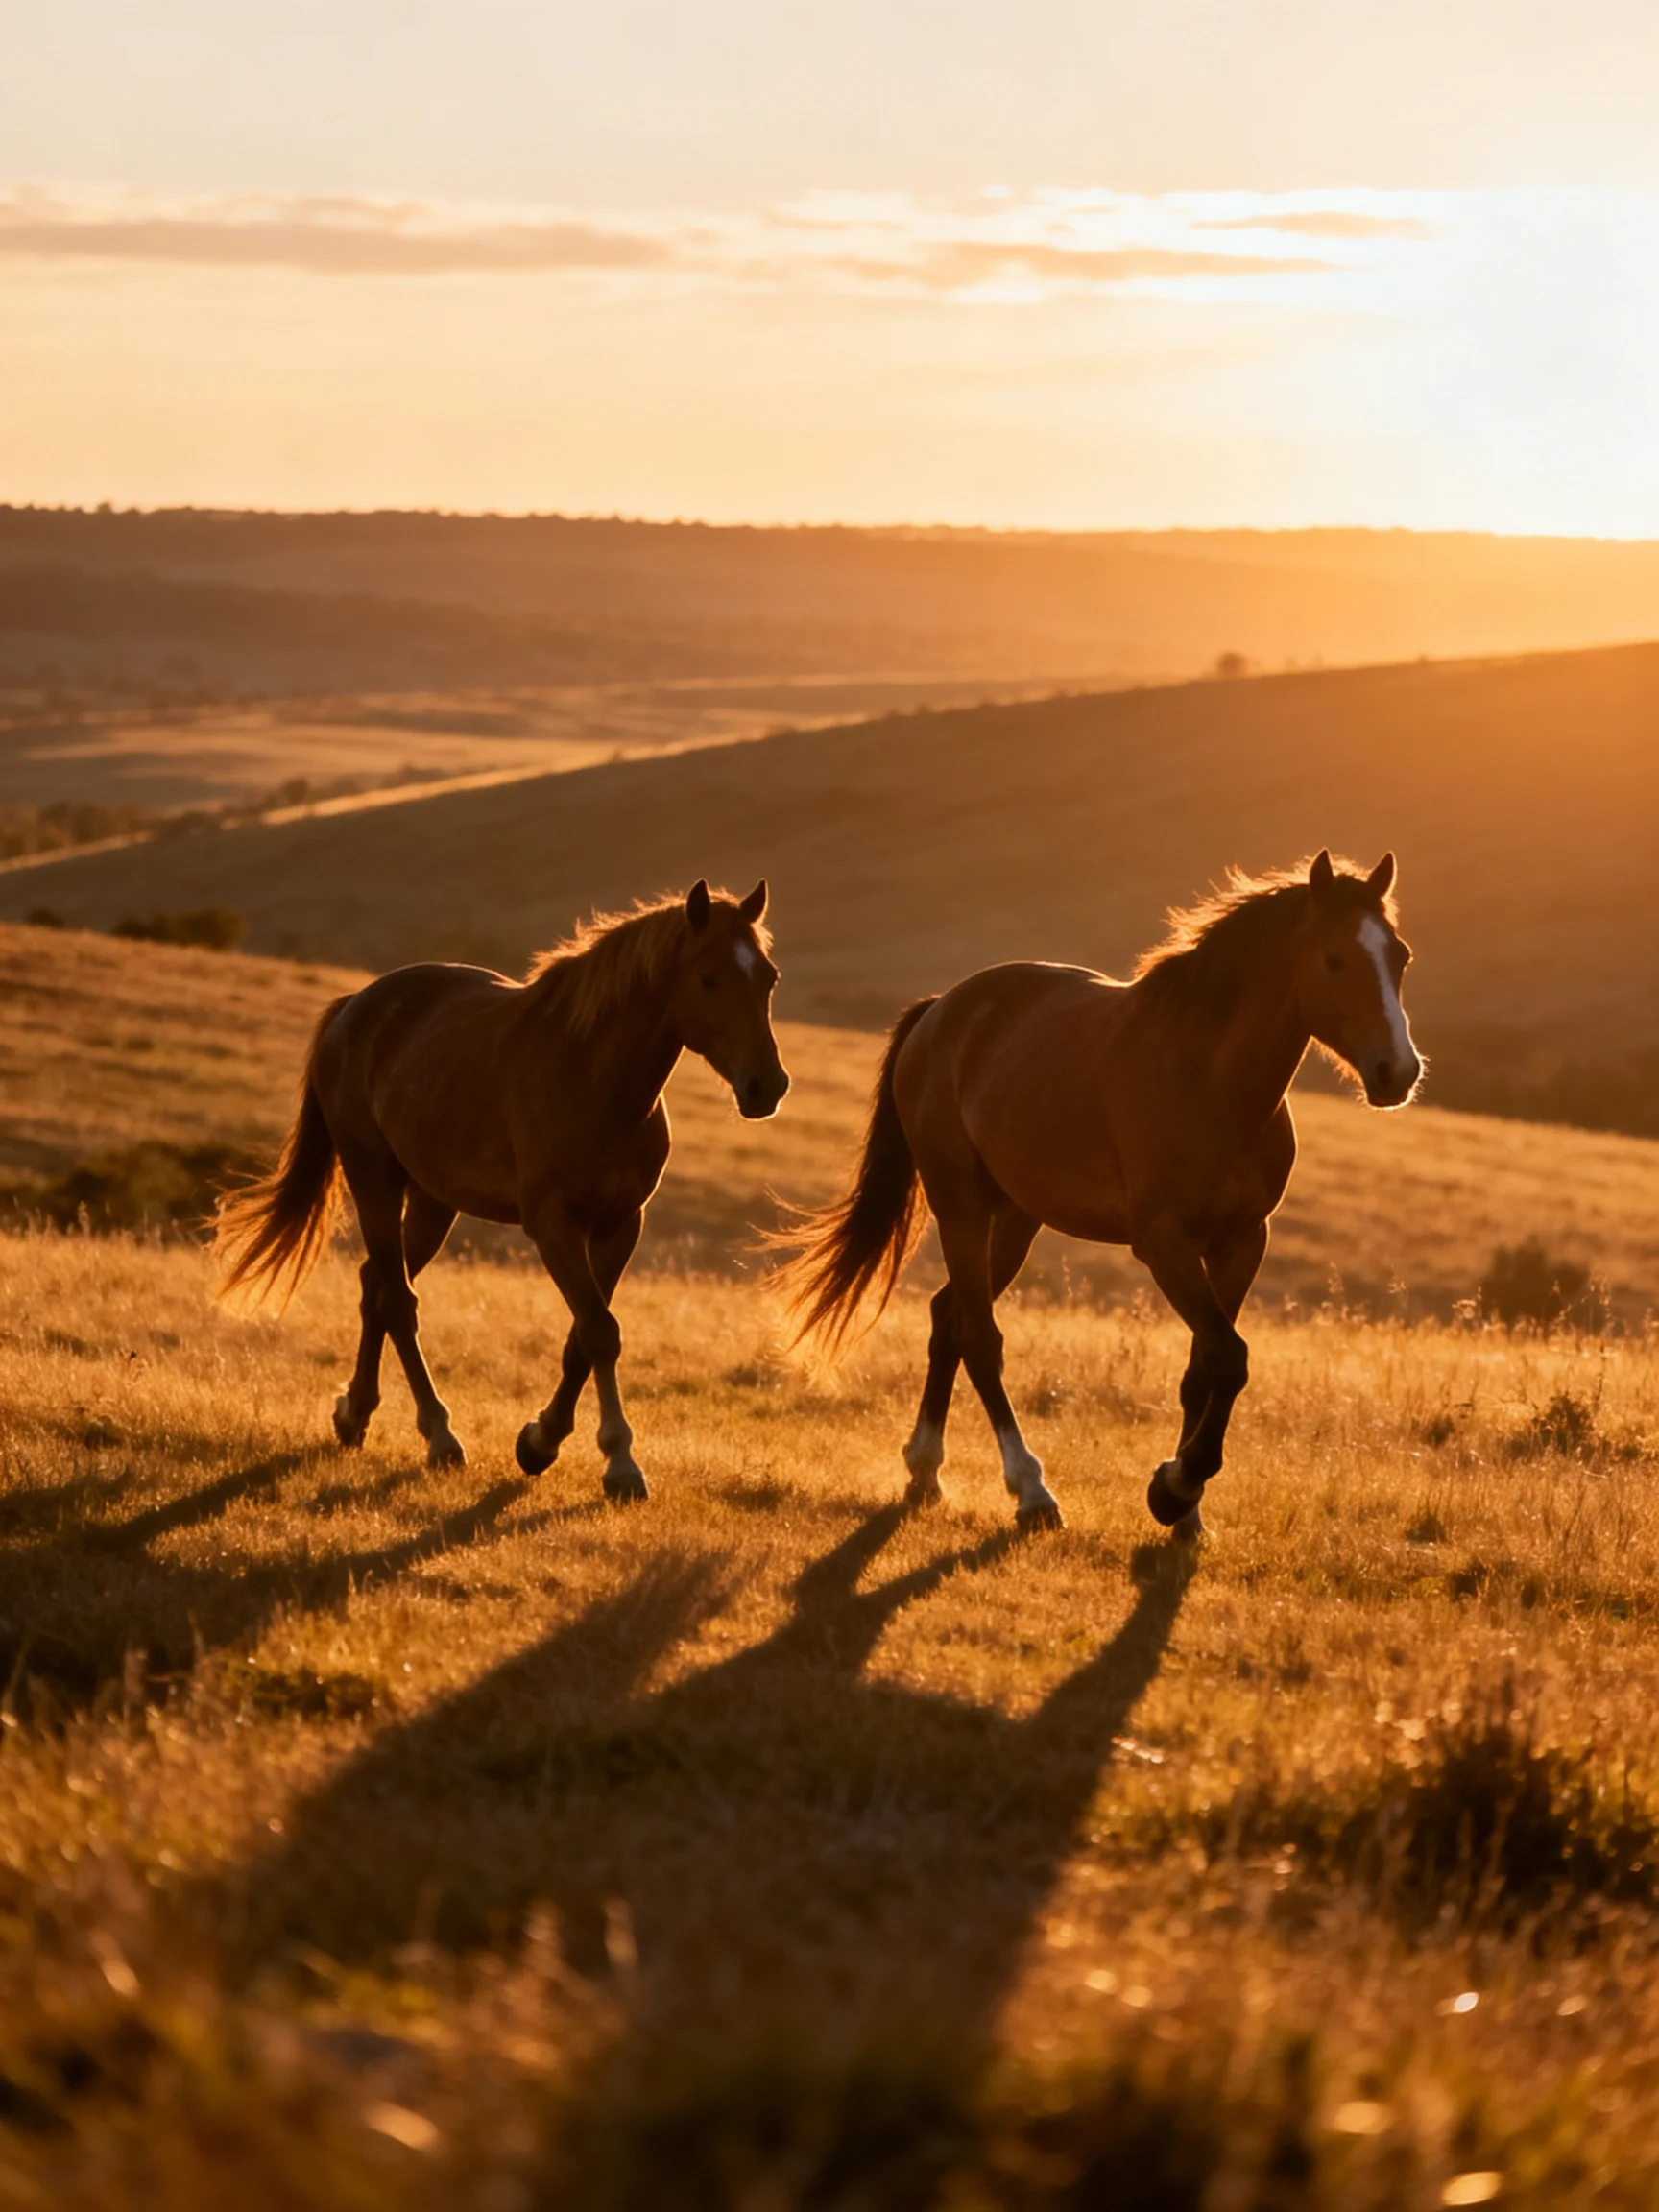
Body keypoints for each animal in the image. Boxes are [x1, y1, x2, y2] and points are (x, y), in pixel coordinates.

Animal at [214, 880, 788, 1500]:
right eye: (709, 978)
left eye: (768, 977)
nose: (767, 1085)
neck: (593, 1080)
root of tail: (354, 1008)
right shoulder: (553, 1225)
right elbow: (600, 1332)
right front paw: (618, 1462)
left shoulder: (620, 1225)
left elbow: (583, 1337)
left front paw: (541, 1441)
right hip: (375, 1182)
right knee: (398, 1301)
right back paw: (439, 1435)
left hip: (433, 1202)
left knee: (377, 1287)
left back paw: (355, 1414)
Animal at [779, 851, 1421, 1537]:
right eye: (1335, 958)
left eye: (1400, 956)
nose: (1398, 1072)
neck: (1210, 1082)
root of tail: (941, 1010)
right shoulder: (1163, 1243)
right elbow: (1228, 1356)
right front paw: (1174, 1487)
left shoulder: (1242, 1243)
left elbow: (1205, 1368)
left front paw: (1186, 1508)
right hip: (961, 1206)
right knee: (980, 1338)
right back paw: (1031, 1491)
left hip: (1015, 1220)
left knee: (948, 1317)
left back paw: (925, 1470)